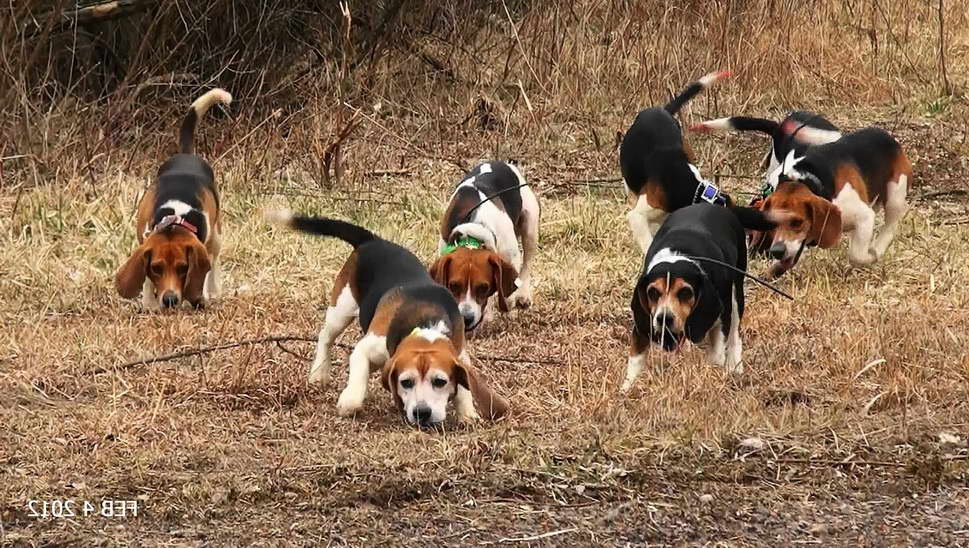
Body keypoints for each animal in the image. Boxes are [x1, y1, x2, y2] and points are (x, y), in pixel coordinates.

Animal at [115, 88, 231, 309]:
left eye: (183, 268)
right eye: (156, 268)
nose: (170, 300)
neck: (176, 218)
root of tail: (187, 155)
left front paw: (199, 297)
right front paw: (150, 303)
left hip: (217, 236)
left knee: (214, 262)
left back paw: (213, 291)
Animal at [266, 211, 509, 427]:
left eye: (440, 382)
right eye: (406, 382)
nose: (422, 413)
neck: (425, 323)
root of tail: (372, 240)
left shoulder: (459, 351)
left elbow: (465, 387)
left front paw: (467, 413)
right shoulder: (365, 348)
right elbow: (356, 382)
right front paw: (349, 401)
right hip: (341, 308)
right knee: (326, 337)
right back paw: (319, 372)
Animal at [429, 161, 539, 331]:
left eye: (483, 287)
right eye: (453, 285)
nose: (466, 318)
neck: (474, 229)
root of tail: (500, 162)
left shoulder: (511, 257)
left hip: (530, 227)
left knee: (527, 263)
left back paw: (523, 295)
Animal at [621, 203, 775, 392]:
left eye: (685, 292)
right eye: (653, 292)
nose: (664, 318)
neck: (680, 254)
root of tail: (717, 205)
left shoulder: (722, 317)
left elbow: (717, 354)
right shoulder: (643, 323)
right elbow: (635, 360)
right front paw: (627, 389)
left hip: (737, 292)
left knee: (735, 335)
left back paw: (735, 366)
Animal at [757, 127, 912, 278]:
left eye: (797, 222)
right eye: (772, 223)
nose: (776, 251)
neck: (808, 180)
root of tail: (887, 136)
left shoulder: (865, 217)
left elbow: (856, 255)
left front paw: (871, 256)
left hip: (895, 195)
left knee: (889, 228)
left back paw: (878, 248)